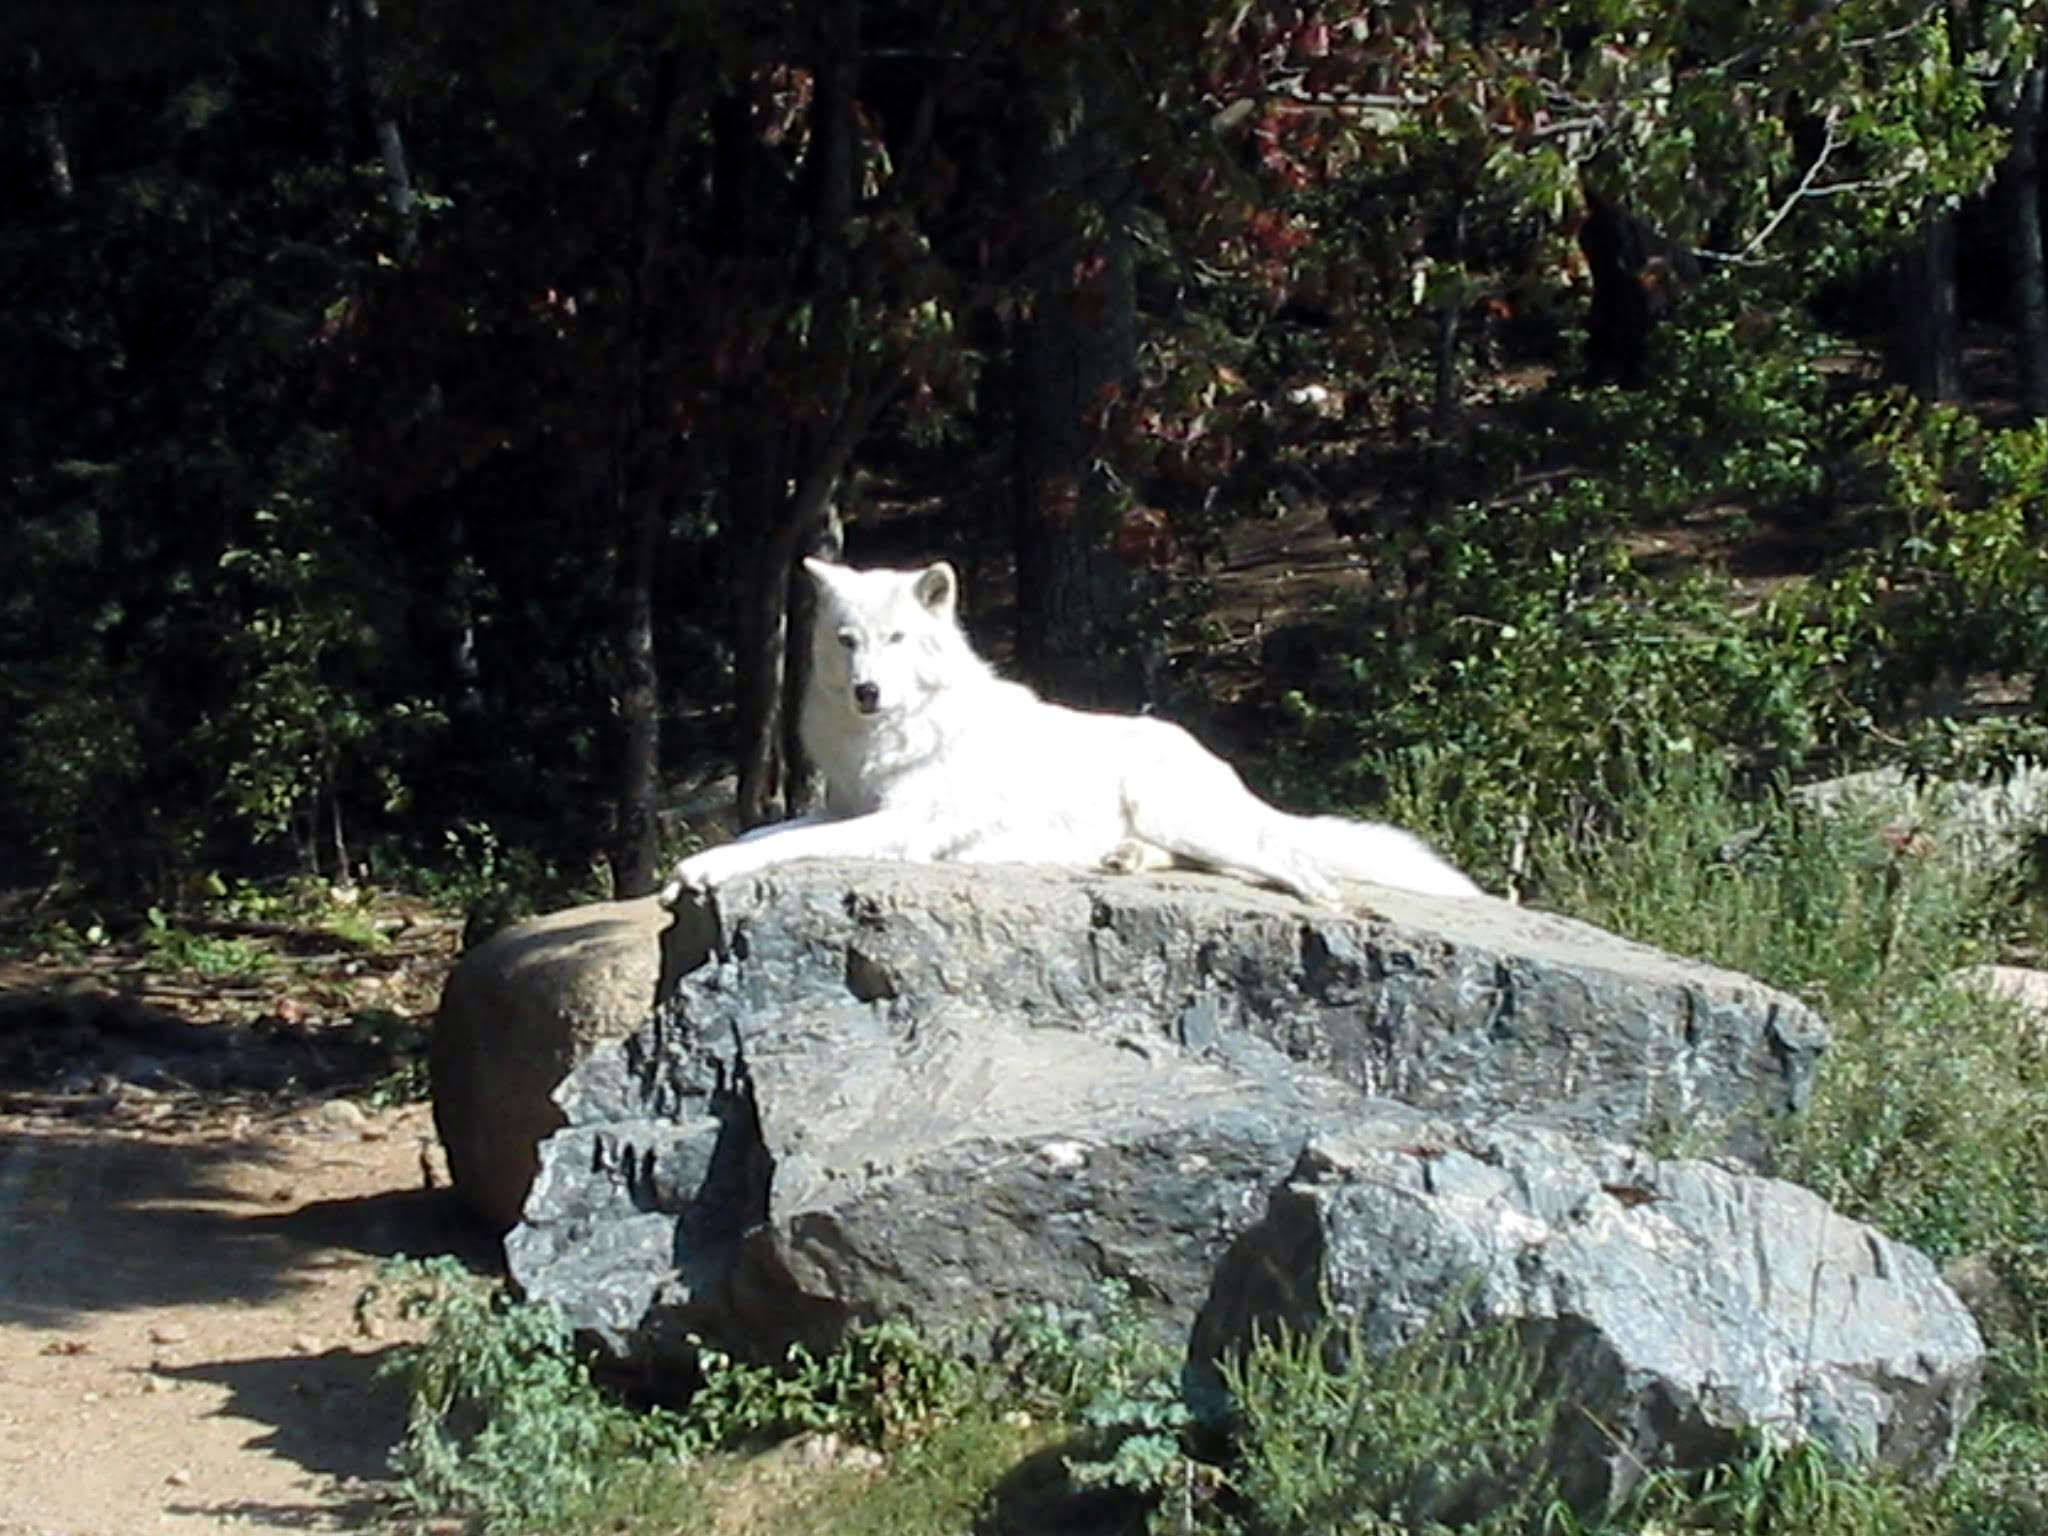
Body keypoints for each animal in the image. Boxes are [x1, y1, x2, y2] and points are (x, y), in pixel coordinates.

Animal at [663, 561, 1482, 909]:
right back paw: (1125, 859)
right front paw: (690, 868)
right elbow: (761, 832)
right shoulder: (839, 806)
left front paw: (705, 871)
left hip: (1181, 812)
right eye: (847, 642)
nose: (868, 691)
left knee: (1291, 863)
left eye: (896, 640)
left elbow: (780, 844)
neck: (891, 738)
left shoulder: (895, 827)